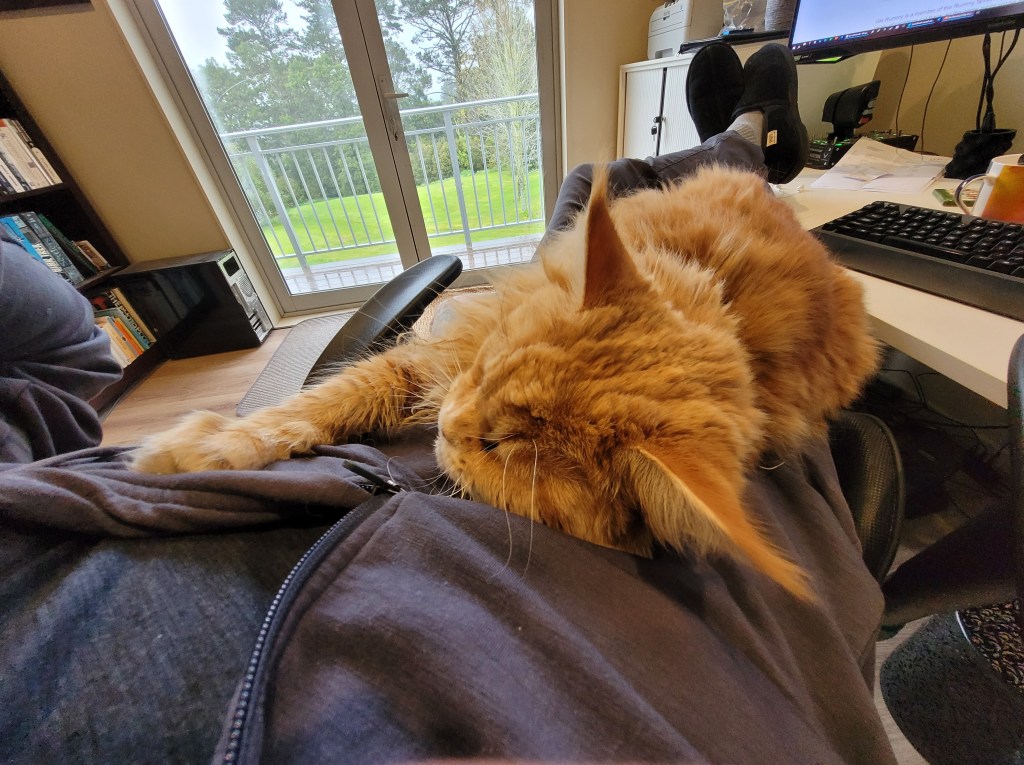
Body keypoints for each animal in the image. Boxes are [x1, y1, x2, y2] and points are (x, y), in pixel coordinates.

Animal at [132, 165, 880, 601]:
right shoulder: (437, 358)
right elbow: (317, 405)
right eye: (485, 373)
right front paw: (202, 448)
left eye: (497, 448)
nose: (444, 429)